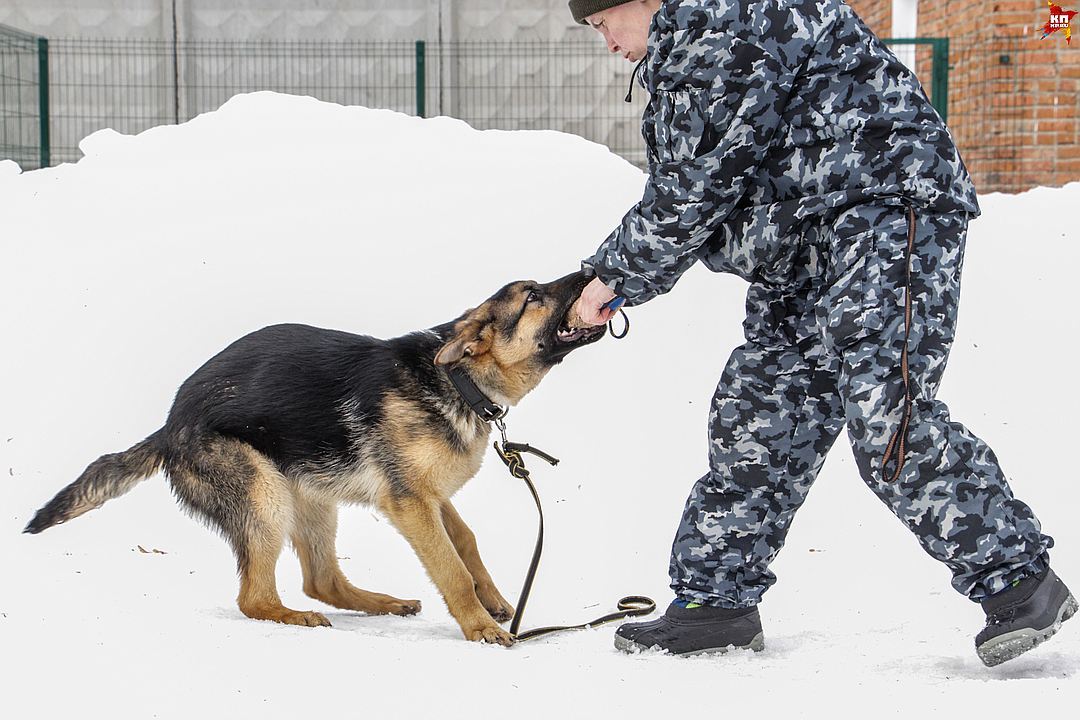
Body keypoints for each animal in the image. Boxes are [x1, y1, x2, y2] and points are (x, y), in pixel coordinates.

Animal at [23, 269, 609, 647]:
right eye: (533, 296)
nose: (591, 272)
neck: (457, 381)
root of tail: (169, 427)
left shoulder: (426, 495)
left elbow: (465, 540)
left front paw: (493, 600)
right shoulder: (409, 503)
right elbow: (450, 566)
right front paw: (479, 626)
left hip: (314, 496)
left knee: (321, 580)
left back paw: (384, 603)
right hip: (266, 496)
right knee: (255, 597)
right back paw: (293, 616)